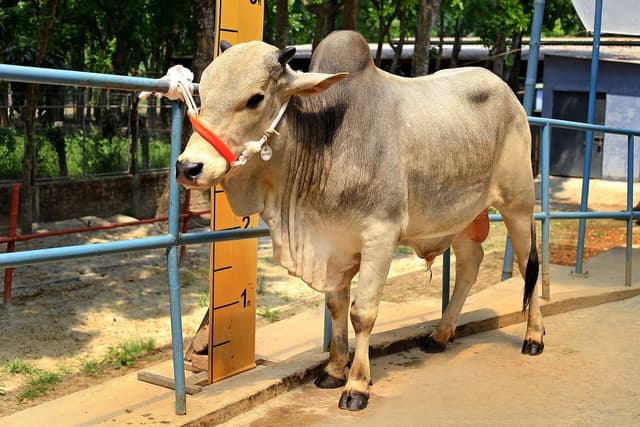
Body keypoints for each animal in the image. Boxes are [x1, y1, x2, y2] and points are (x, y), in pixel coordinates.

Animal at [175, 31, 543, 411]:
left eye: (255, 98)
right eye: (204, 92)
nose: (189, 167)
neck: (324, 140)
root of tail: (509, 95)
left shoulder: (381, 235)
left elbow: (362, 313)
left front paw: (357, 386)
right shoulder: (332, 244)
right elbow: (337, 307)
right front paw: (334, 371)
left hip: (518, 205)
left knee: (529, 262)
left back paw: (533, 337)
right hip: (460, 217)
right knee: (471, 264)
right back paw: (441, 334)